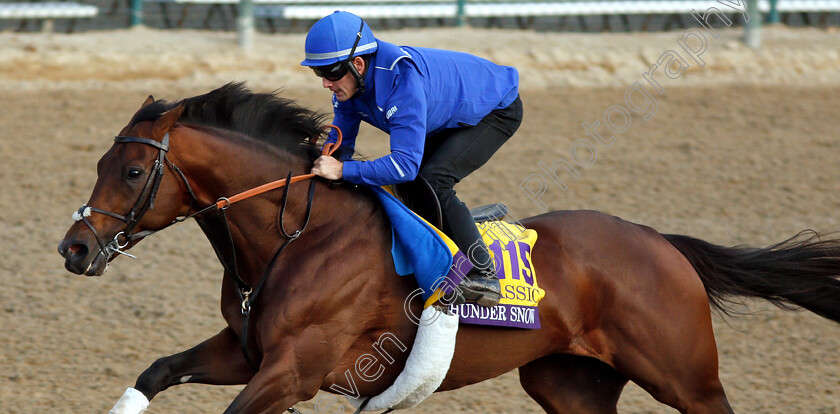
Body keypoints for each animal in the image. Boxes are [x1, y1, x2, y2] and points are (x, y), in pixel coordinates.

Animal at [59, 84, 840, 414]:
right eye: (101, 162)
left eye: (133, 171)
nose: (74, 249)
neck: (298, 235)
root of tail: (660, 242)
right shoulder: (245, 351)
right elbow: (158, 370)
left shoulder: (293, 371)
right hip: (567, 384)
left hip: (686, 378)